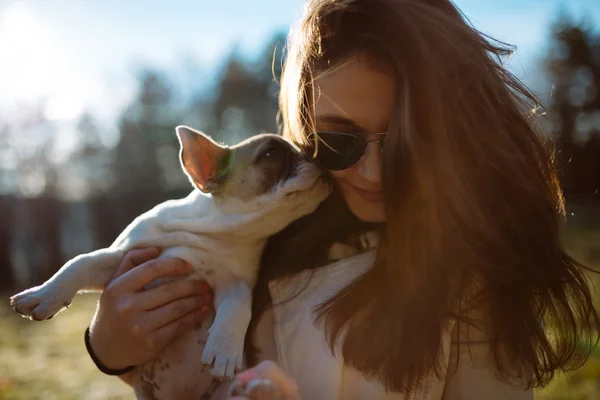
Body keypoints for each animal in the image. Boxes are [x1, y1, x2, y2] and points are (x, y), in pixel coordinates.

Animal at [9, 126, 330, 400]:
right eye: (271, 153)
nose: (315, 155)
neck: (219, 233)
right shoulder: (122, 255)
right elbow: (80, 263)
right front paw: (43, 296)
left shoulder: (234, 281)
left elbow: (239, 305)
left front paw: (224, 348)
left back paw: (261, 387)